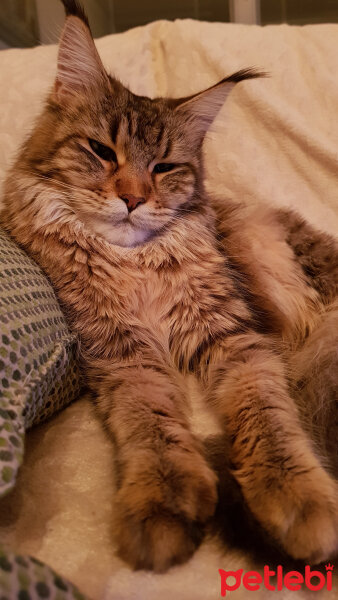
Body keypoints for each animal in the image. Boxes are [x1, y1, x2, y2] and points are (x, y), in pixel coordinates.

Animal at [0, 0, 338, 572]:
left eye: (164, 167)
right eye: (101, 151)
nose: (134, 199)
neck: (135, 263)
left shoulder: (236, 337)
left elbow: (270, 416)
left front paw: (298, 499)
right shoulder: (120, 353)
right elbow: (151, 423)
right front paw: (162, 502)